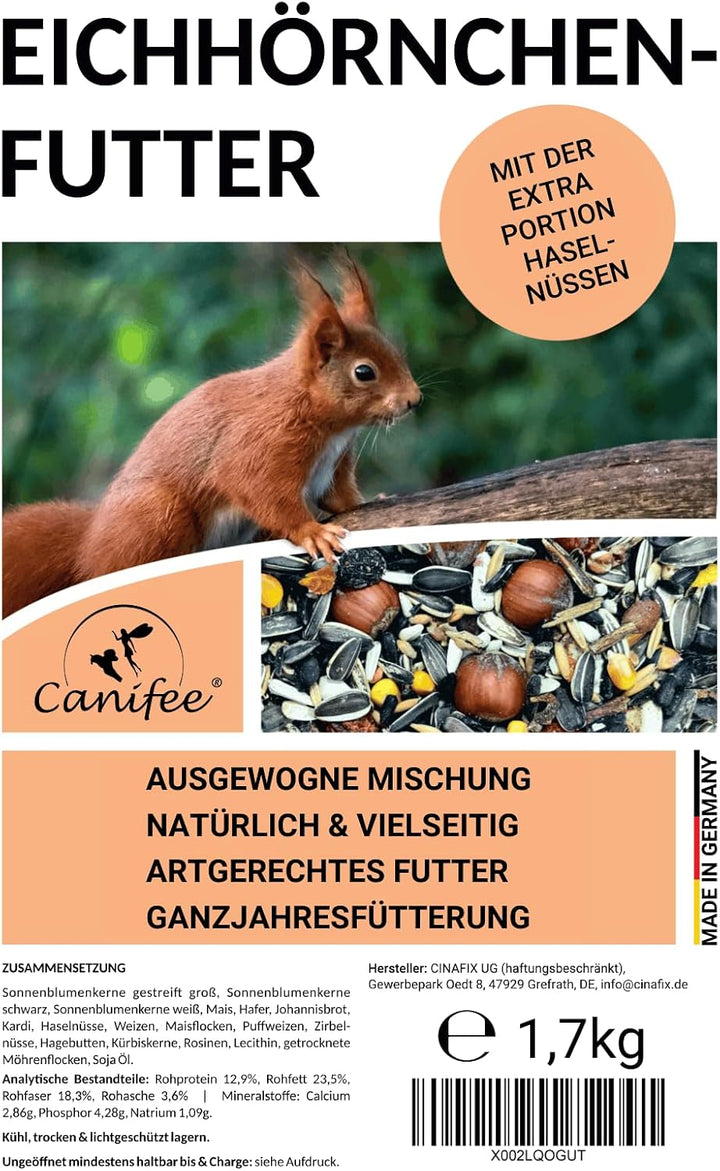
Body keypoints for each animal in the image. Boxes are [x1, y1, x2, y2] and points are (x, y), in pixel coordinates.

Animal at [2, 254, 421, 617]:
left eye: (397, 353)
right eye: (364, 372)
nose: (414, 400)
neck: (329, 425)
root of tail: (88, 542)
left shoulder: (334, 464)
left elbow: (340, 497)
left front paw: (375, 499)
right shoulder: (258, 444)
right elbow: (262, 491)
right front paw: (311, 531)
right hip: (155, 514)